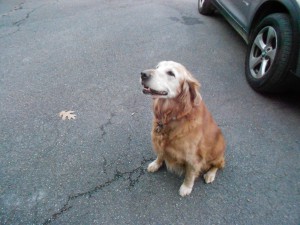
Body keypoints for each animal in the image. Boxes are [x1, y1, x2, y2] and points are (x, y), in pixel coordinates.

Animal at [141, 60, 225, 196]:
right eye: (157, 67)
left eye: (171, 73)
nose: (143, 74)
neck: (173, 115)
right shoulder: (160, 142)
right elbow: (160, 154)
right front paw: (156, 164)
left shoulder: (193, 157)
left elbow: (190, 174)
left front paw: (186, 187)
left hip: (217, 153)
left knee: (219, 164)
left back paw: (210, 175)